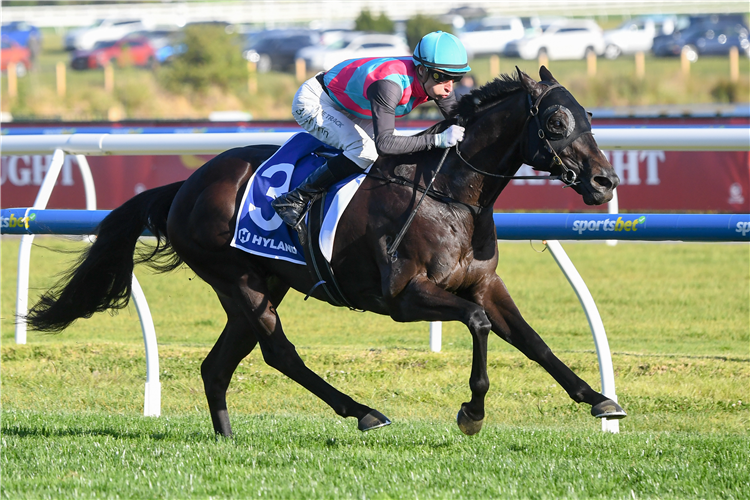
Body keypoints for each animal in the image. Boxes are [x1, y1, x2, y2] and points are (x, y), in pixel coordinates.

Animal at [26, 68, 624, 436]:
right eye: (555, 122)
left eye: (590, 117)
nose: (604, 181)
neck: (451, 193)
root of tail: (186, 185)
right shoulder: (403, 296)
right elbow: (477, 325)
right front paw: (471, 411)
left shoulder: (483, 283)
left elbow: (531, 340)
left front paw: (599, 399)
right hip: (239, 281)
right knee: (279, 353)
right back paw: (362, 412)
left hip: (259, 285)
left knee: (217, 366)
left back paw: (226, 438)